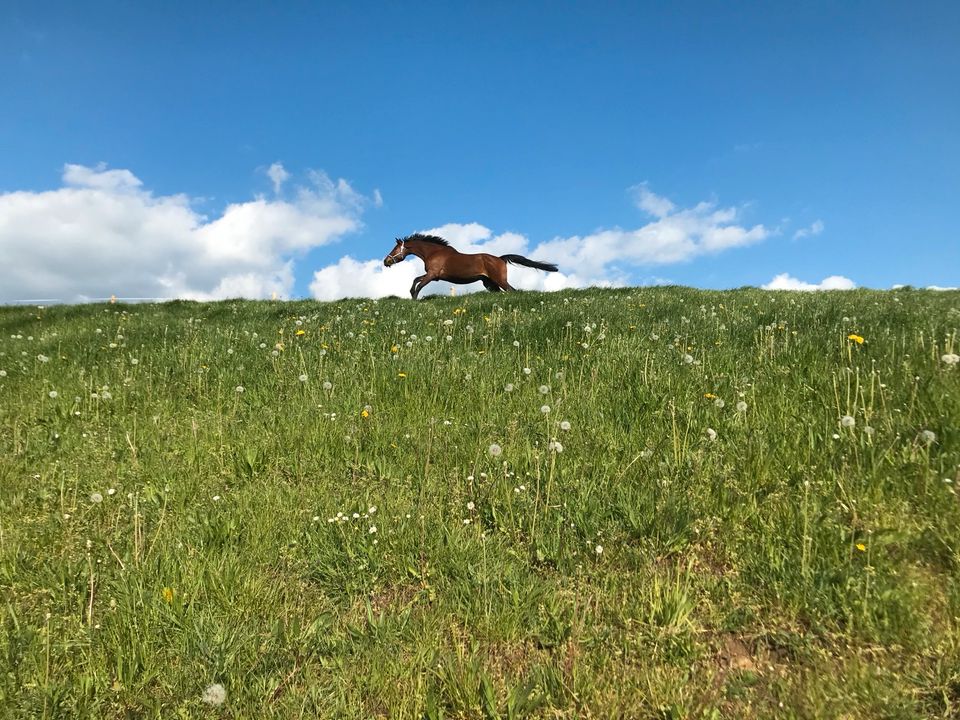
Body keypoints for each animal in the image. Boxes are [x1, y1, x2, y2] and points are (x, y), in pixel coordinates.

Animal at [382, 235, 560, 300]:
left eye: (395, 249)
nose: (386, 261)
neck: (434, 252)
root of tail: (500, 259)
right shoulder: (434, 276)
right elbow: (415, 280)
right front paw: (411, 294)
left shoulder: (432, 275)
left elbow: (419, 285)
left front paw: (414, 299)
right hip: (489, 283)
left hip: (499, 280)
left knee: (512, 291)